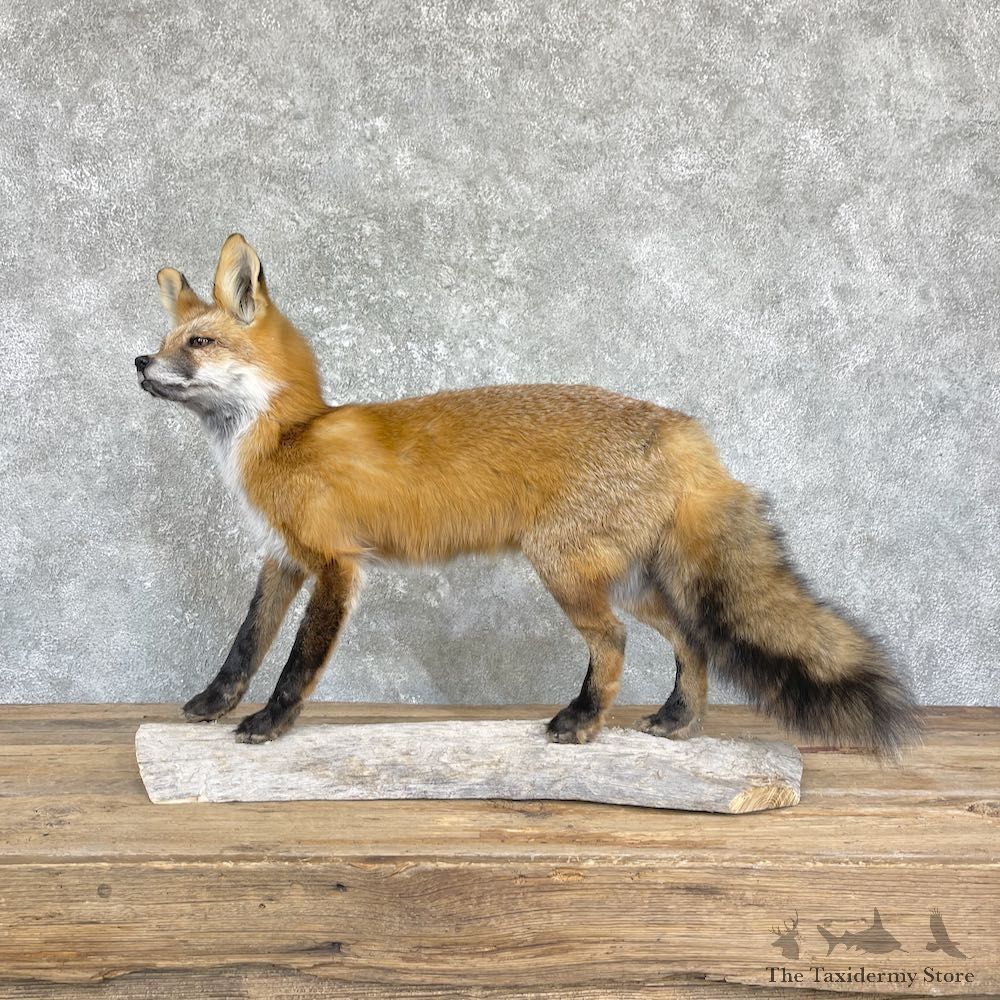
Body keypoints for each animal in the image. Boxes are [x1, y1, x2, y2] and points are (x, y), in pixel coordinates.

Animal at [135, 234, 918, 754]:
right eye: (167, 337)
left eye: (198, 343)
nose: (139, 360)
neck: (288, 435)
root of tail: (685, 431)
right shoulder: (282, 559)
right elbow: (245, 644)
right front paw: (211, 705)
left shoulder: (334, 564)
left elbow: (297, 662)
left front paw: (270, 724)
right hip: (627, 578)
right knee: (689, 638)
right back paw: (678, 722)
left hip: (565, 569)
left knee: (615, 642)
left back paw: (582, 721)